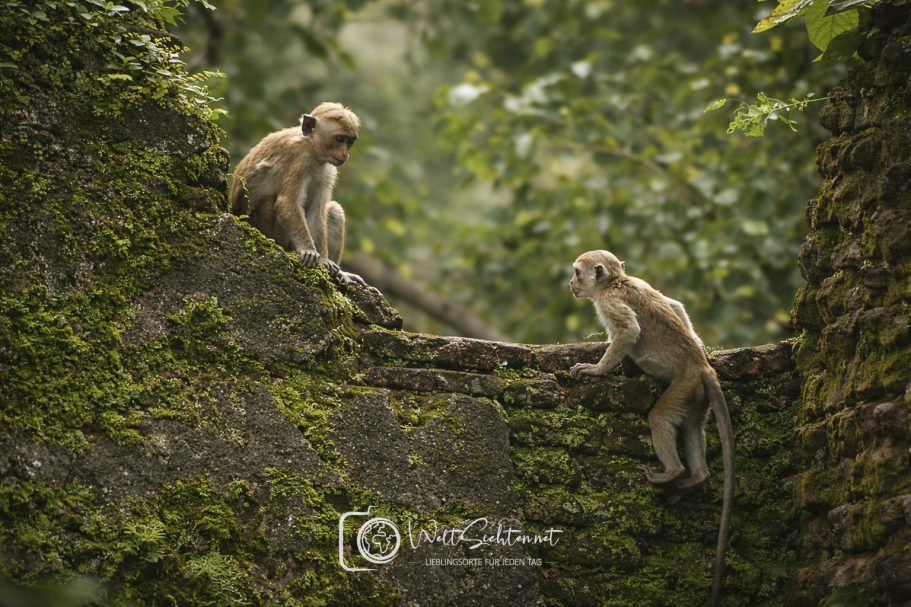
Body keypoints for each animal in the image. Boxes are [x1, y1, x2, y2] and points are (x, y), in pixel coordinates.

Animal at [229, 102, 365, 285]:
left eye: (349, 142)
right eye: (339, 139)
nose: (345, 154)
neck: (312, 147)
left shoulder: (328, 170)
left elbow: (317, 212)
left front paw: (324, 260)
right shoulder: (298, 157)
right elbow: (287, 202)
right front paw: (308, 250)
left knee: (334, 210)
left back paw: (342, 274)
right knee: (269, 201)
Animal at [567, 250, 734, 607]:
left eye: (576, 272)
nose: (571, 284)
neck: (615, 282)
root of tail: (701, 367)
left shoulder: (610, 302)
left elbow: (629, 332)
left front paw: (595, 370)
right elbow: (674, 304)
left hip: (684, 385)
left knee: (660, 418)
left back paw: (672, 472)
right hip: (696, 395)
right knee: (692, 426)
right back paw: (696, 478)